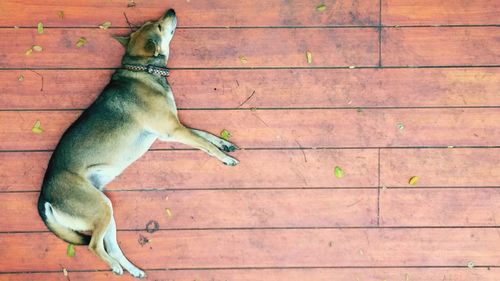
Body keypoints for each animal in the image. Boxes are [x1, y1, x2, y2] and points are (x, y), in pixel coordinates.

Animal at [38, 9, 237, 278]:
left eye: (154, 23)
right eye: (160, 26)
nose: (171, 10)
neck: (142, 68)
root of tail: (44, 198)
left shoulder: (172, 129)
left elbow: (204, 135)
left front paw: (224, 144)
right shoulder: (174, 130)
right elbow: (206, 145)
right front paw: (225, 157)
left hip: (106, 210)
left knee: (111, 247)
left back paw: (132, 270)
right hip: (101, 209)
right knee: (94, 246)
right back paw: (115, 267)